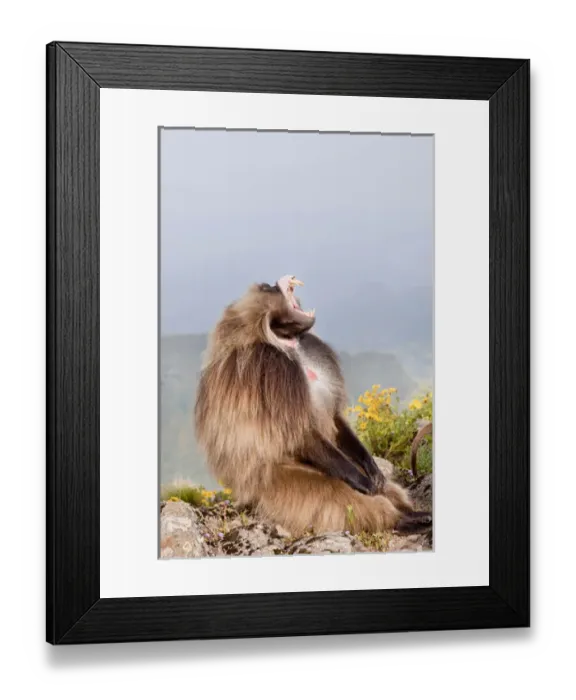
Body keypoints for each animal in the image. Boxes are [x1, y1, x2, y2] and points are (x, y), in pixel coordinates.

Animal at [194, 275, 432, 537]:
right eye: (267, 288)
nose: (271, 282)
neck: (284, 343)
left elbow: (336, 418)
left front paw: (373, 471)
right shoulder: (271, 369)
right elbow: (300, 432)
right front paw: (364, 482)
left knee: (385, 490)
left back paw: (412, 512)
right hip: (277, 483)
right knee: (339, 495)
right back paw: (401, 519)